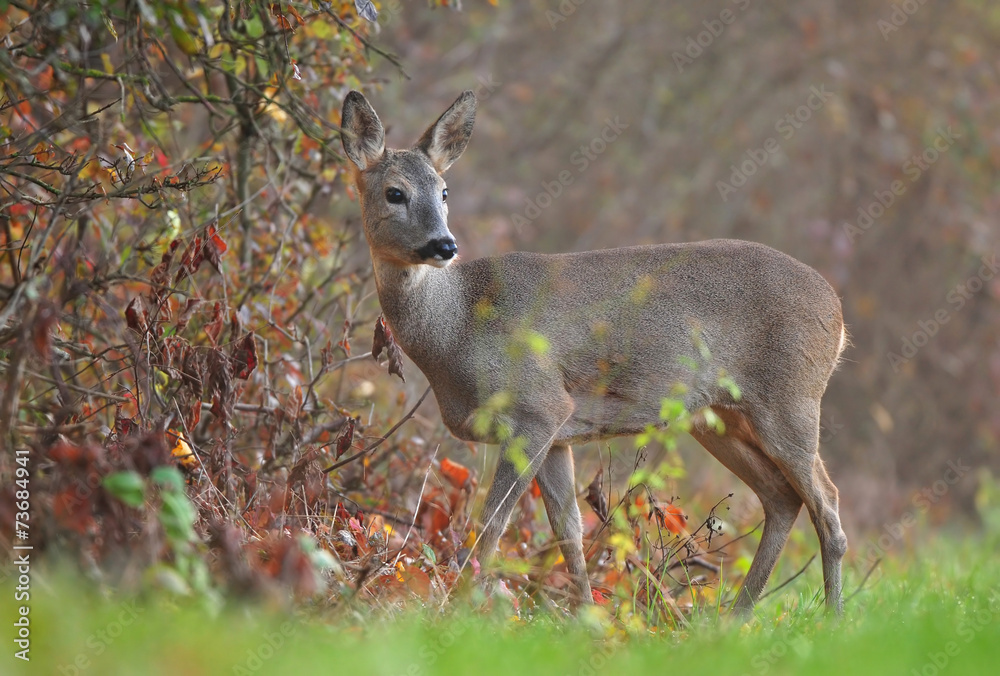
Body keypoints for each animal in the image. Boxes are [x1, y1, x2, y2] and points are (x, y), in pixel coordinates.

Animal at [339, 89, 849, 615]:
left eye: (444, 192)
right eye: (394, 193)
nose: (444, 244)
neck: (456, 326)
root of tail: (837, 311)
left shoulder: (538, 407)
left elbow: (493, 523)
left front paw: (456, 607)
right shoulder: (559, 432)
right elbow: (569, 533)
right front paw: (586, 616)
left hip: (791, 400)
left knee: (827, 504)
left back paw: (831, 618)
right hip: (718, 417)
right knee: (783, 498)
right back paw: (734, 618)